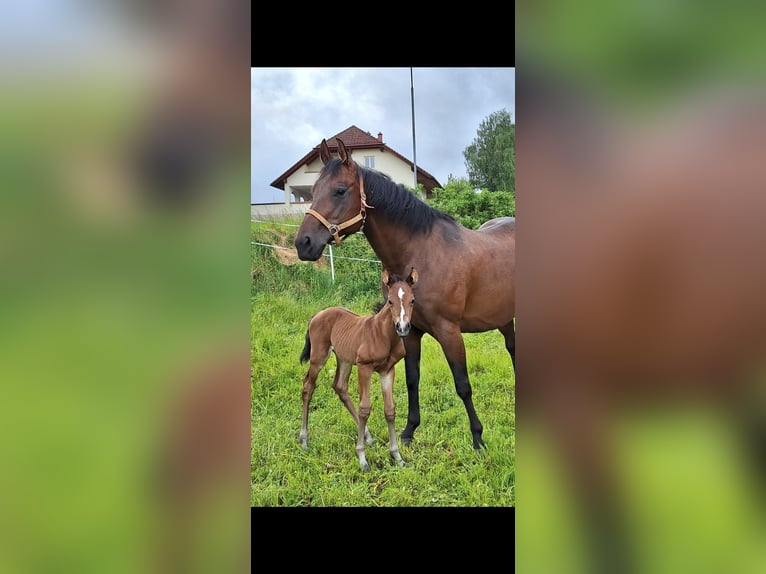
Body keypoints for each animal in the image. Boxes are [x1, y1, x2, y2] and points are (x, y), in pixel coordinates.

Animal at [299, 267, 418, 472]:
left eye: (412, 300)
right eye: (390, 301)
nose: (402, 327)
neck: (384, 335)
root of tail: (317, 315)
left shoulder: (387, 371)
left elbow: (390, 410)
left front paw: (397, 456)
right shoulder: (364, 367)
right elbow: (365, 408)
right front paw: (362, 458)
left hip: (344, 359)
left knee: (339, 387)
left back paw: (368, 436)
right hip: (318, 358)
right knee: (308, 387)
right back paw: (304, 440)